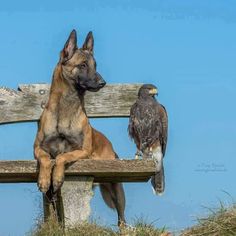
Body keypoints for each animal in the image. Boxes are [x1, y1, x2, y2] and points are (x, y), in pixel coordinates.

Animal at [33, 29, 125, 227]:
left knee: (121, 217)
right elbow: (46, 158)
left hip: (116, 189)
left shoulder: (82, 151)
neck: (66, 109)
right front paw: (44, 179)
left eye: (95, 65)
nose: (103, 82)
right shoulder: (38, 149)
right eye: (82, 65)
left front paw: (57, 177)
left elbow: (62, 156)